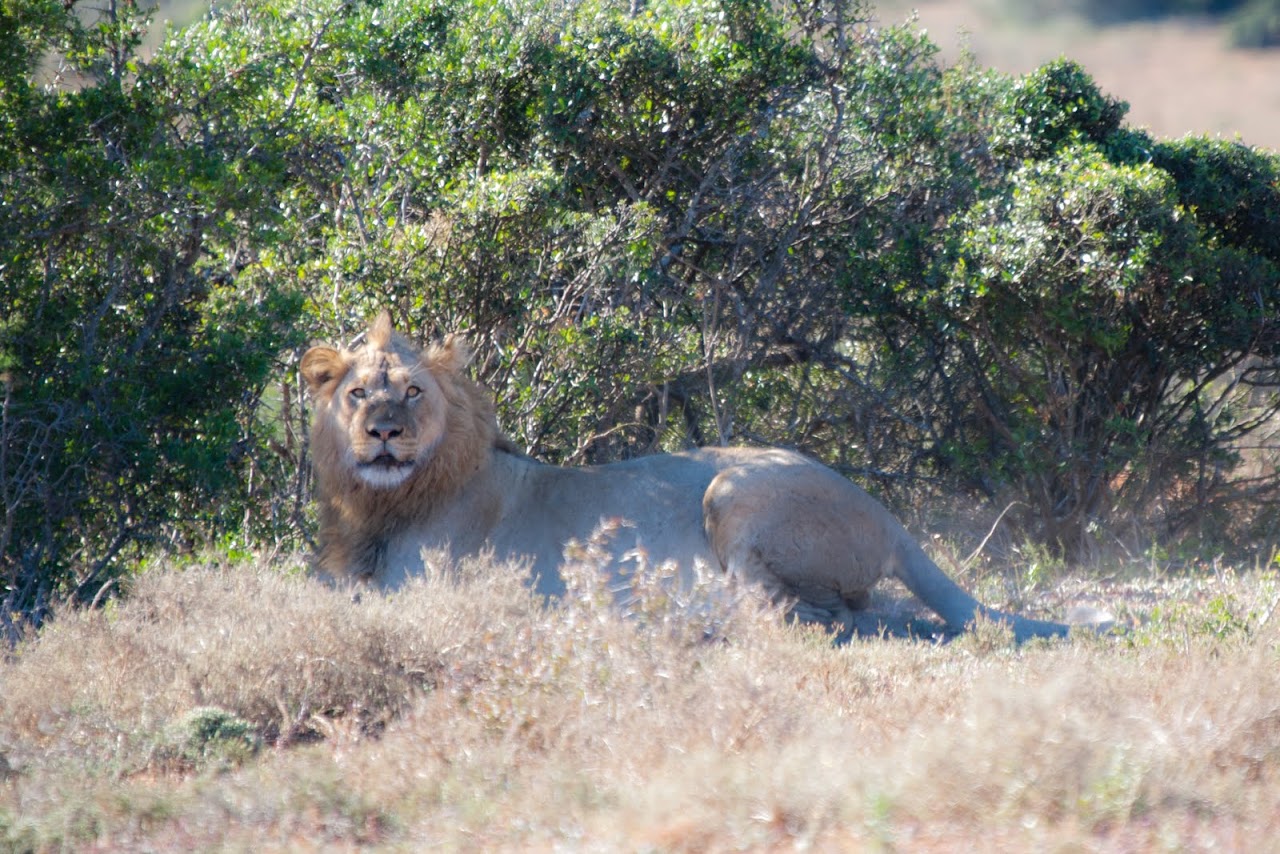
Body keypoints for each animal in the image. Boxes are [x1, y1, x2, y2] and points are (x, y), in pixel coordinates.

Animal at [300, 311, 1073, 642]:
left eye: (413, 392)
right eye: (359, 394)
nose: (385, 433)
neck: (382, 504)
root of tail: (889, 518)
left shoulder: (425, 588)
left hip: (732, 494)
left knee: (813, 615)